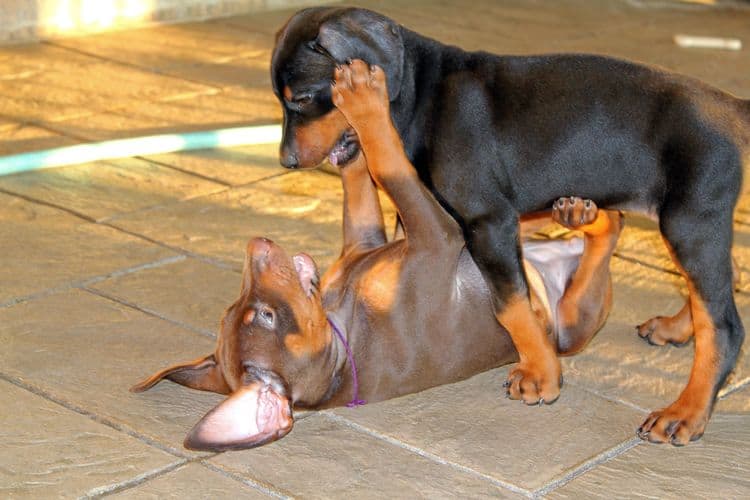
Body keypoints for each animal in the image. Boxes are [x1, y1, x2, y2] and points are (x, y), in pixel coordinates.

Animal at [272, 6, 750, 446]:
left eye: (302, 99)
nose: (286, 162)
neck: (421, 96)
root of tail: (729, 108)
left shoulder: (488, 219)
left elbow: (511, 303)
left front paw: (542, 375)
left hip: (689, 221)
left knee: (724, 325)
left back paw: (685, 413)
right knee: (718, 288)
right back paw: (675, 328)